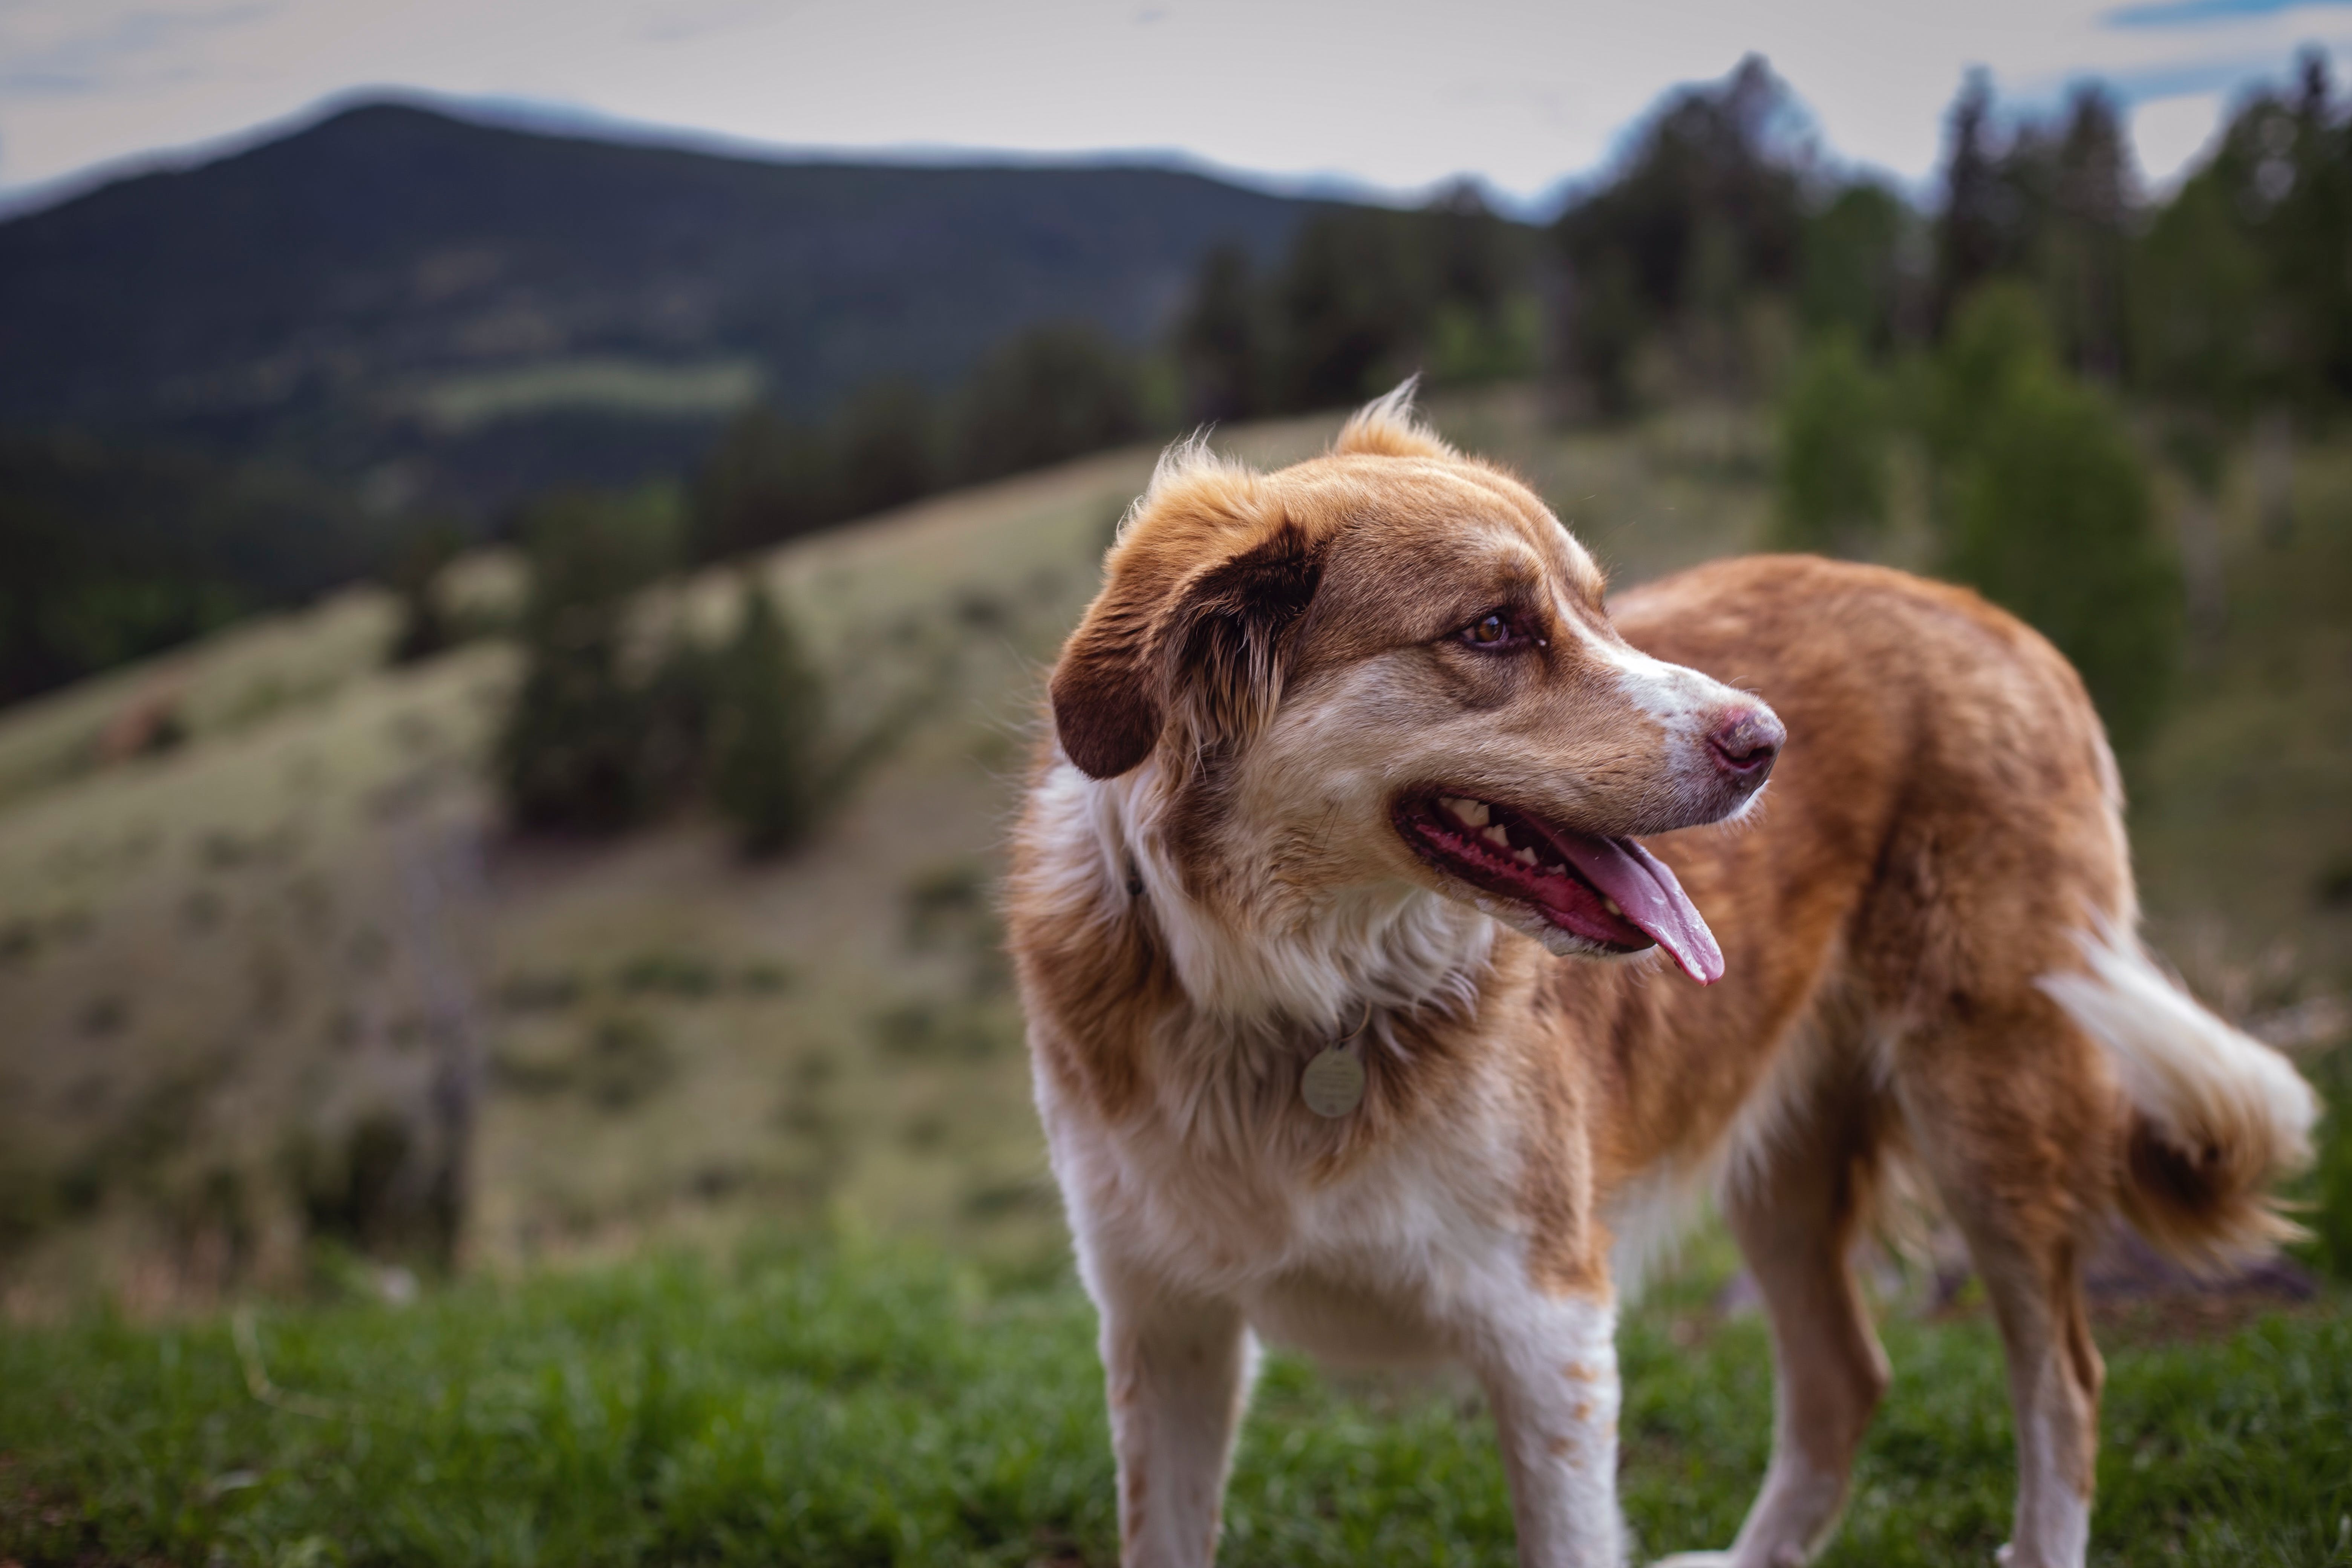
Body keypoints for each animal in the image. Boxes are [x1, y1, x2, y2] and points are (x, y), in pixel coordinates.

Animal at [1006, 383, 2314, 1568]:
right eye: (1493, 628)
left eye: (1598, 608)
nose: (1768, 745)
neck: (1294, 995)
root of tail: (1991, 617)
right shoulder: (1163, 1327)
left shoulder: (1548, 1329)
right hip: (1788, 1147)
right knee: (1847, 1377)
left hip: (1995, 1108)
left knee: (2064, 1383)